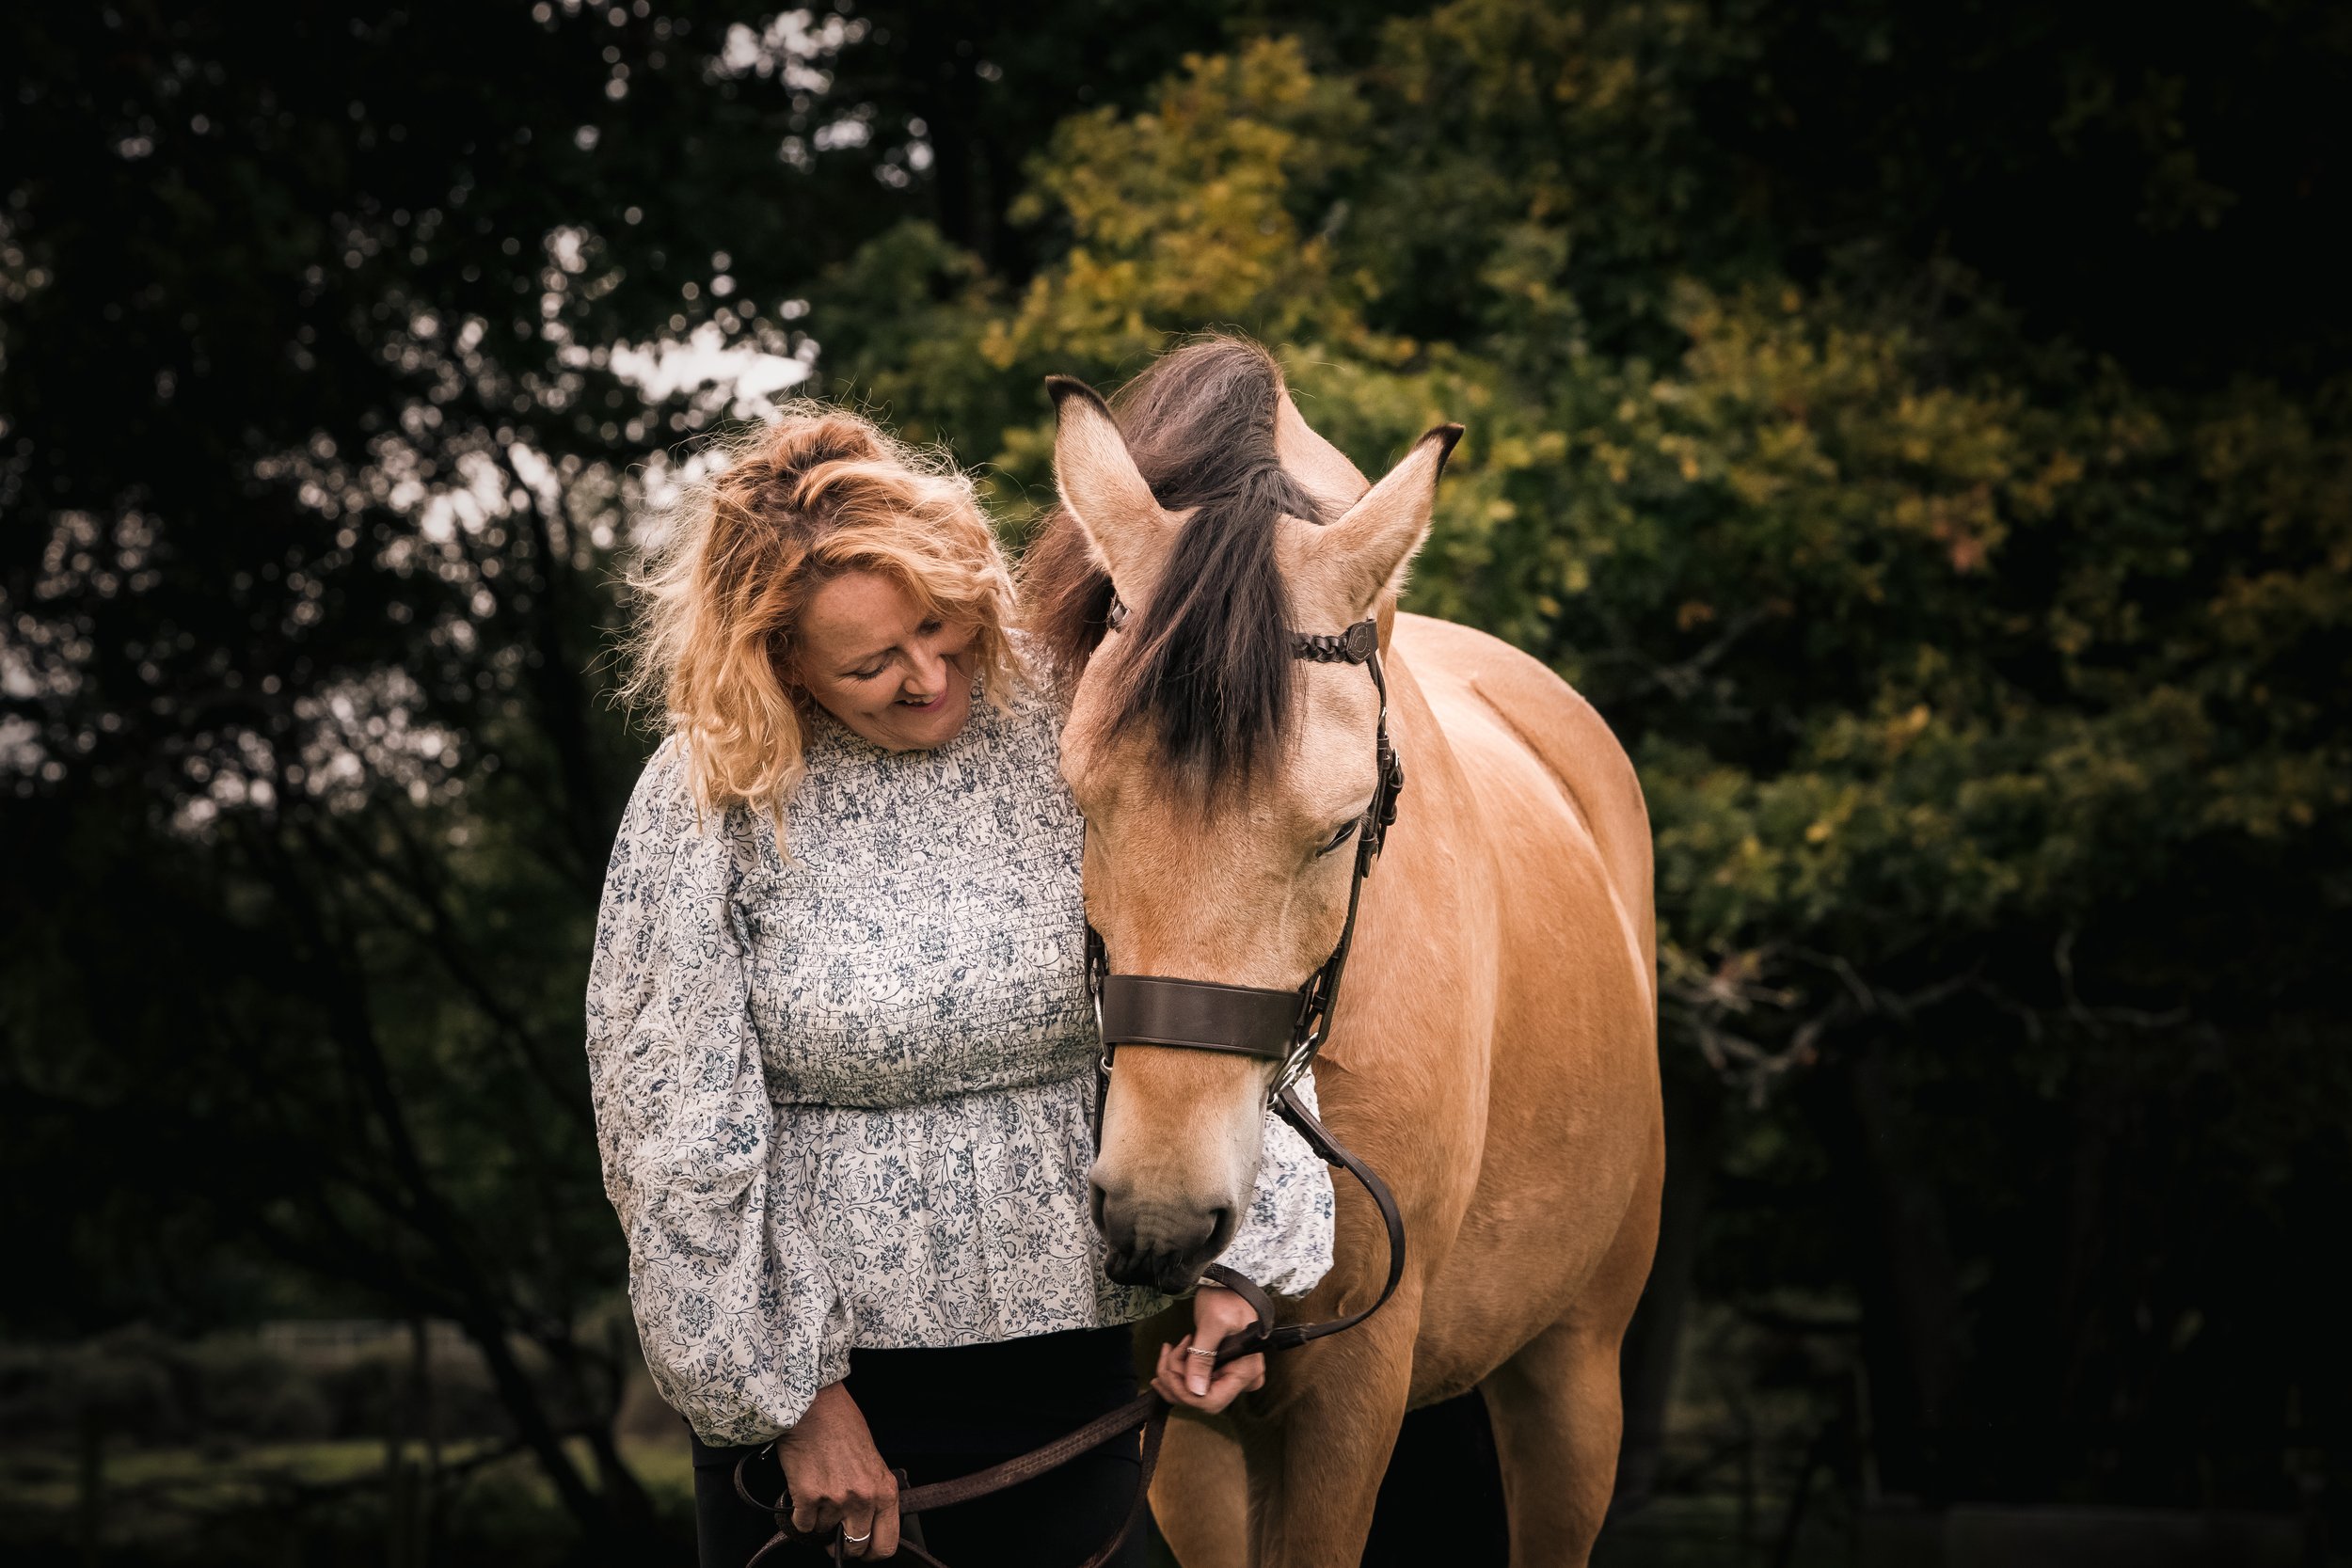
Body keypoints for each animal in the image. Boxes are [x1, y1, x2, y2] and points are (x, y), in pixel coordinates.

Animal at [1018, 336, 1663, 1568]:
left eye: (1338, 825)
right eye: (1080, 800)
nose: (1161, 1216)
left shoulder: (1357, 1379)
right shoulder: (1187, 1407)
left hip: (1574, 1371)